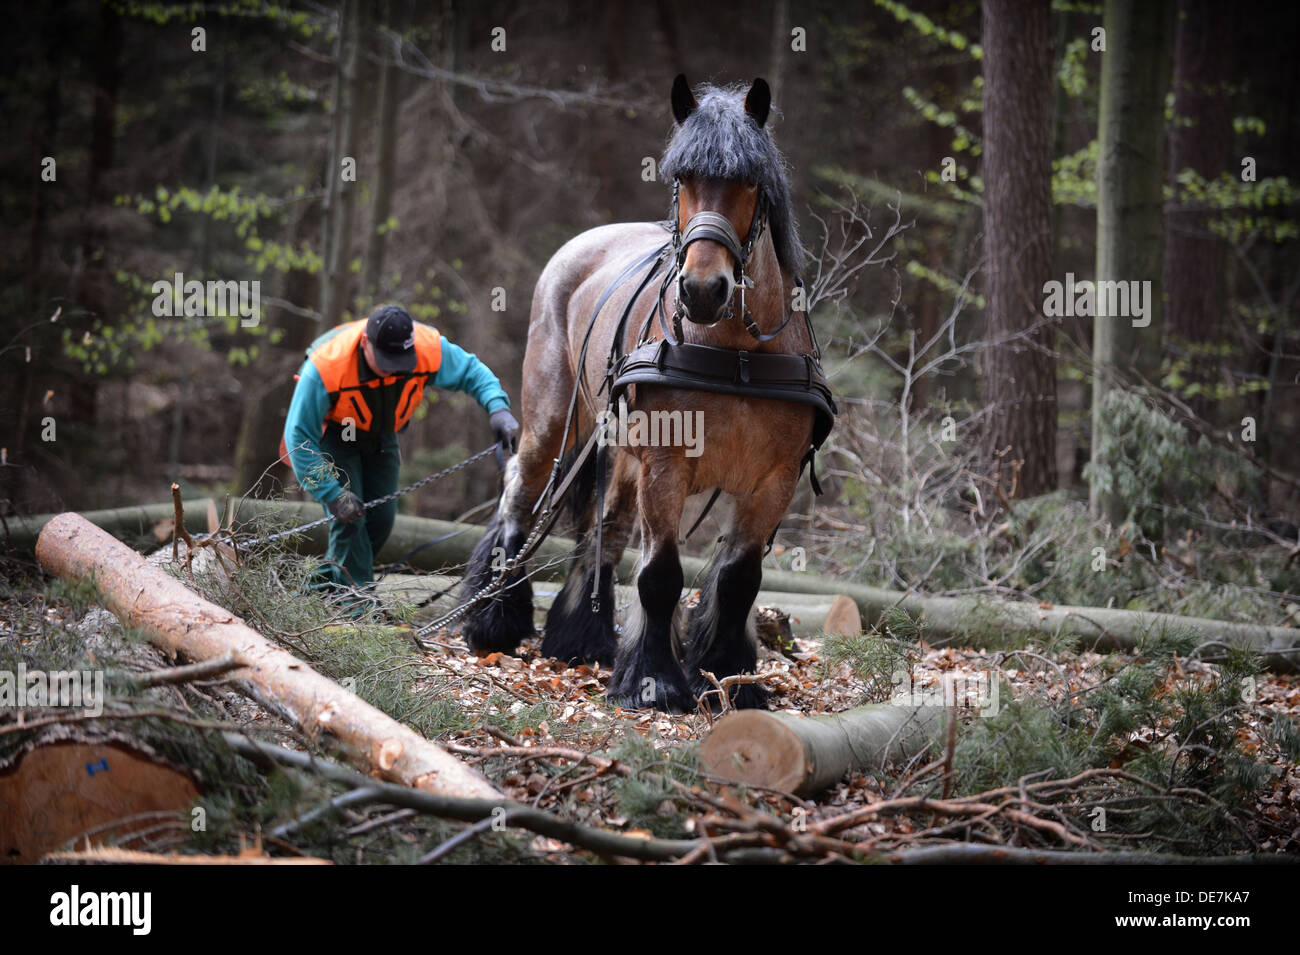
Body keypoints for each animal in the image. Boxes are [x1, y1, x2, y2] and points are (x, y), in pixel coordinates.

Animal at [462, 74, 837, 712]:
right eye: (681, 179)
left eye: (751, 181)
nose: (703, 290)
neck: (737, 353)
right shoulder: (667, 464)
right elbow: (661, 574)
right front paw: (655, 681)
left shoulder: (775, 479)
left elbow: (739, 580)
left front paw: (730, 677)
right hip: (554, 420)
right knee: (521, 494)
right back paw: (494, 618)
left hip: (621, 453)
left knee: (605, 533)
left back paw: (582, 641)